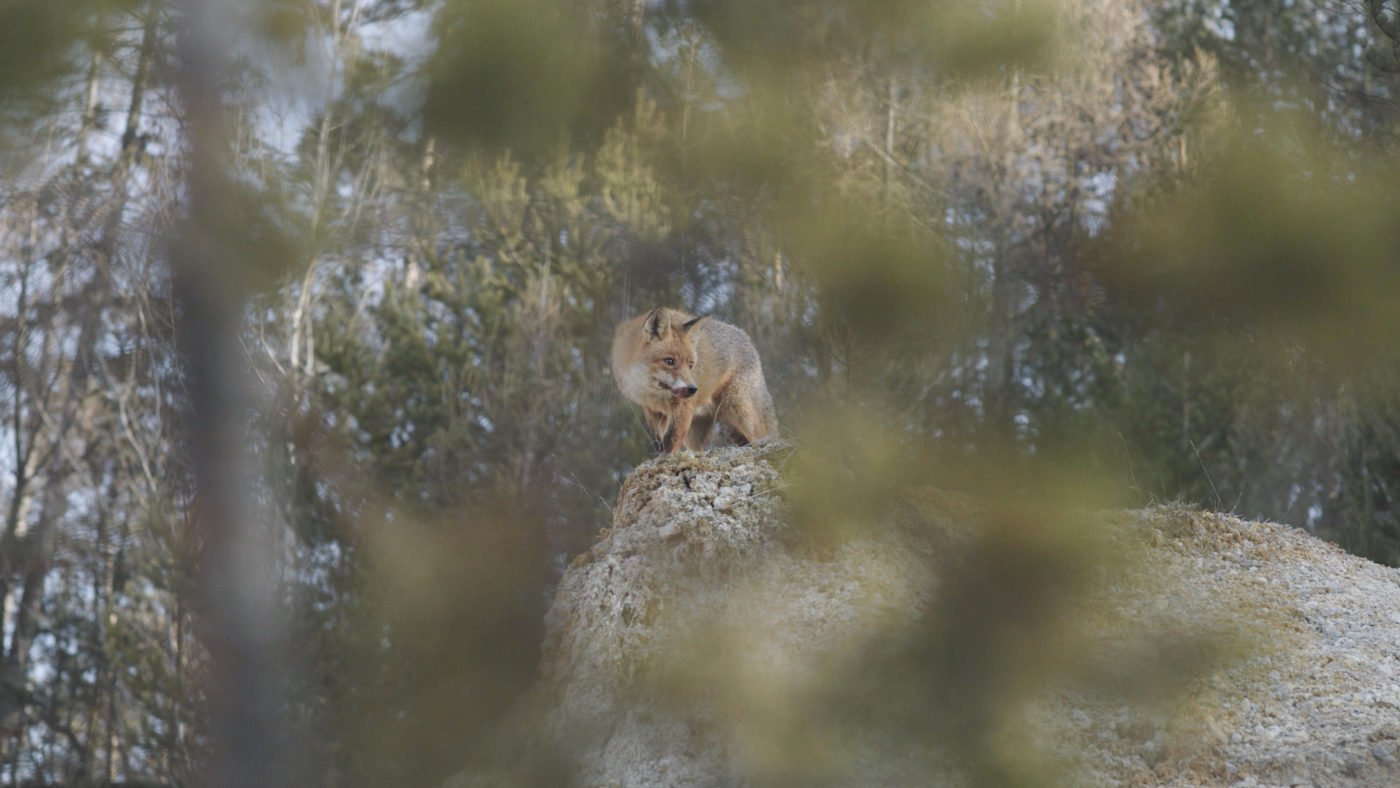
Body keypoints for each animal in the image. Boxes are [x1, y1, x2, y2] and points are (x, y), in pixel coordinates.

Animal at [610, 307, 778, 456]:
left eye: (691, 364)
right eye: (669, 361)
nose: (692, 389)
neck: (651, 391)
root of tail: (747, 339)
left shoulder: (681, 409)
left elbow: (669, 442)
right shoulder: (652, 410)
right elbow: (658, 442)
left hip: (740, 409)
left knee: (760, 433)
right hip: (695, 433)